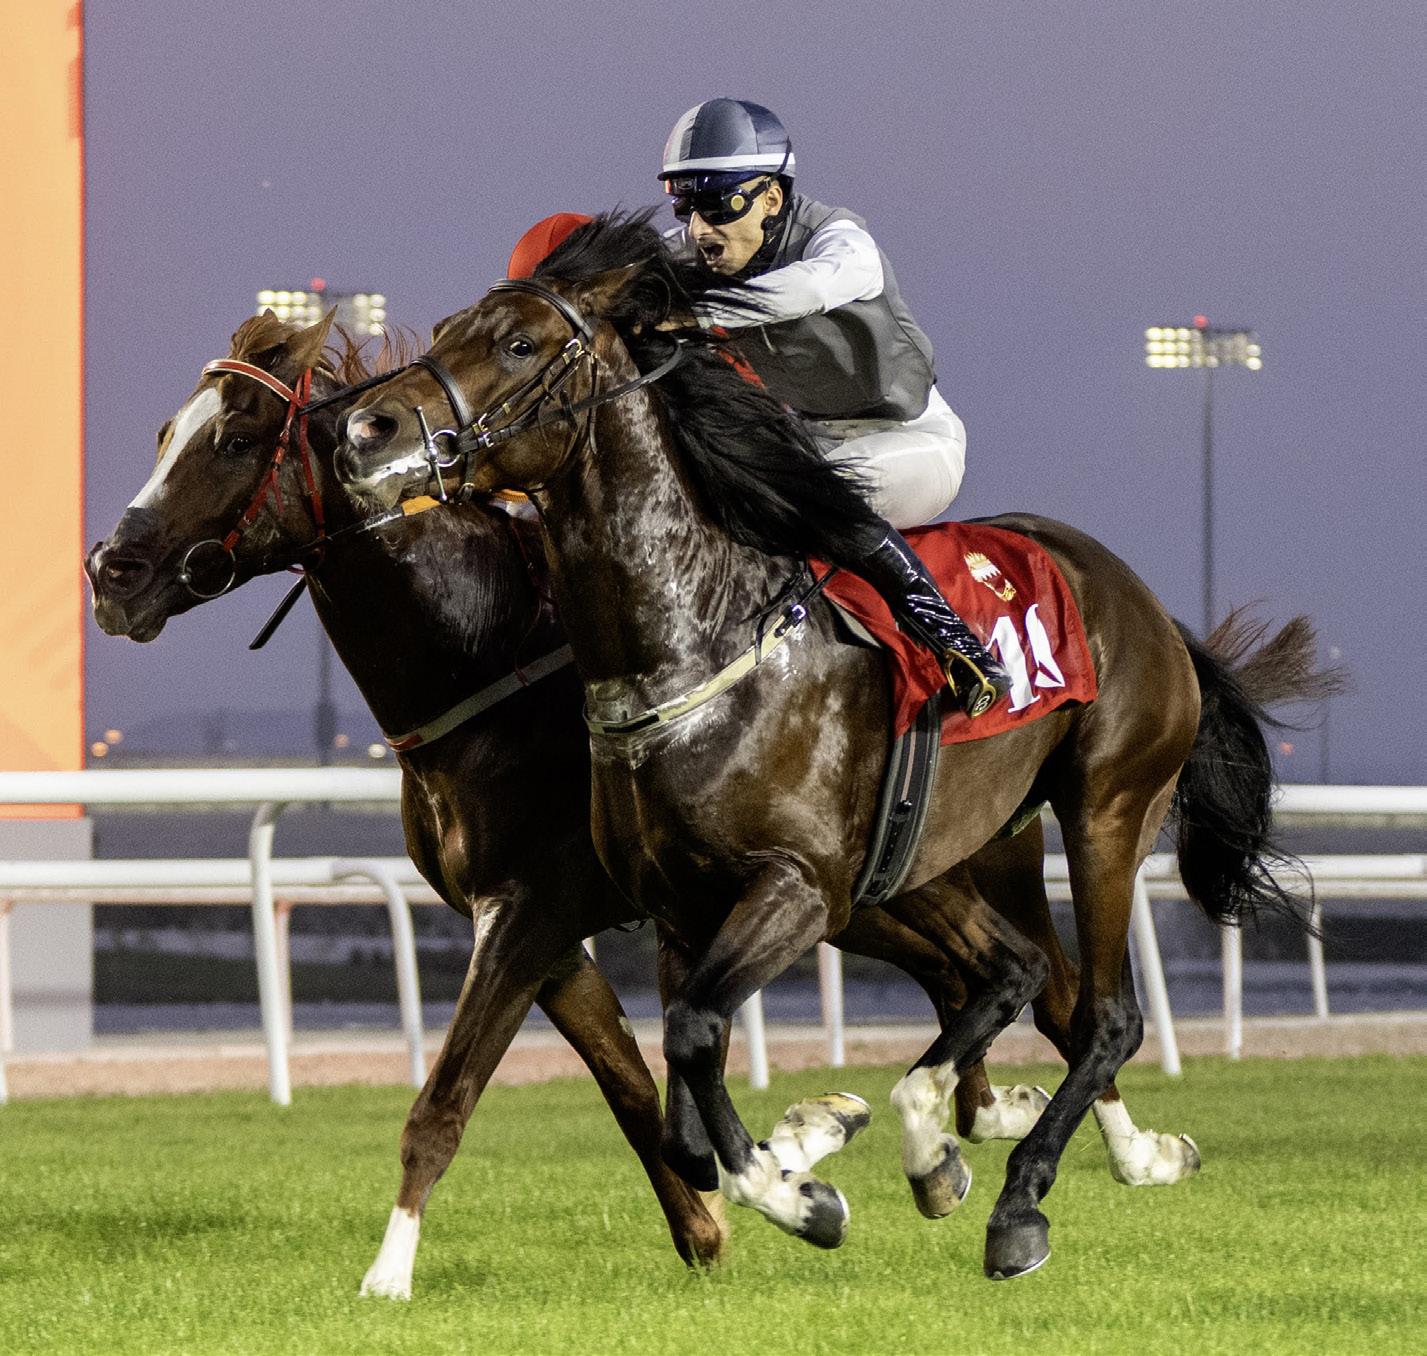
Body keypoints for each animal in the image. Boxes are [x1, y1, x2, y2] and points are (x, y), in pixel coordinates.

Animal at [335, 213, 1336, 1278]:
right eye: (447, 330)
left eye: (520, 343)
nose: (367, 429)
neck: (695, 646)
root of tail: (1146, 606)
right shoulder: (680, 905)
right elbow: (682, 1109)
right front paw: (801, 1155)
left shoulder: (795, 885)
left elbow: (695, 1036)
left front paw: (797, 1191)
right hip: (936, 855)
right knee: (1012, 973)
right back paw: (958, 1147)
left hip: (1107, 804)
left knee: (1103, 1014)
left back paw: (1023, 1199)